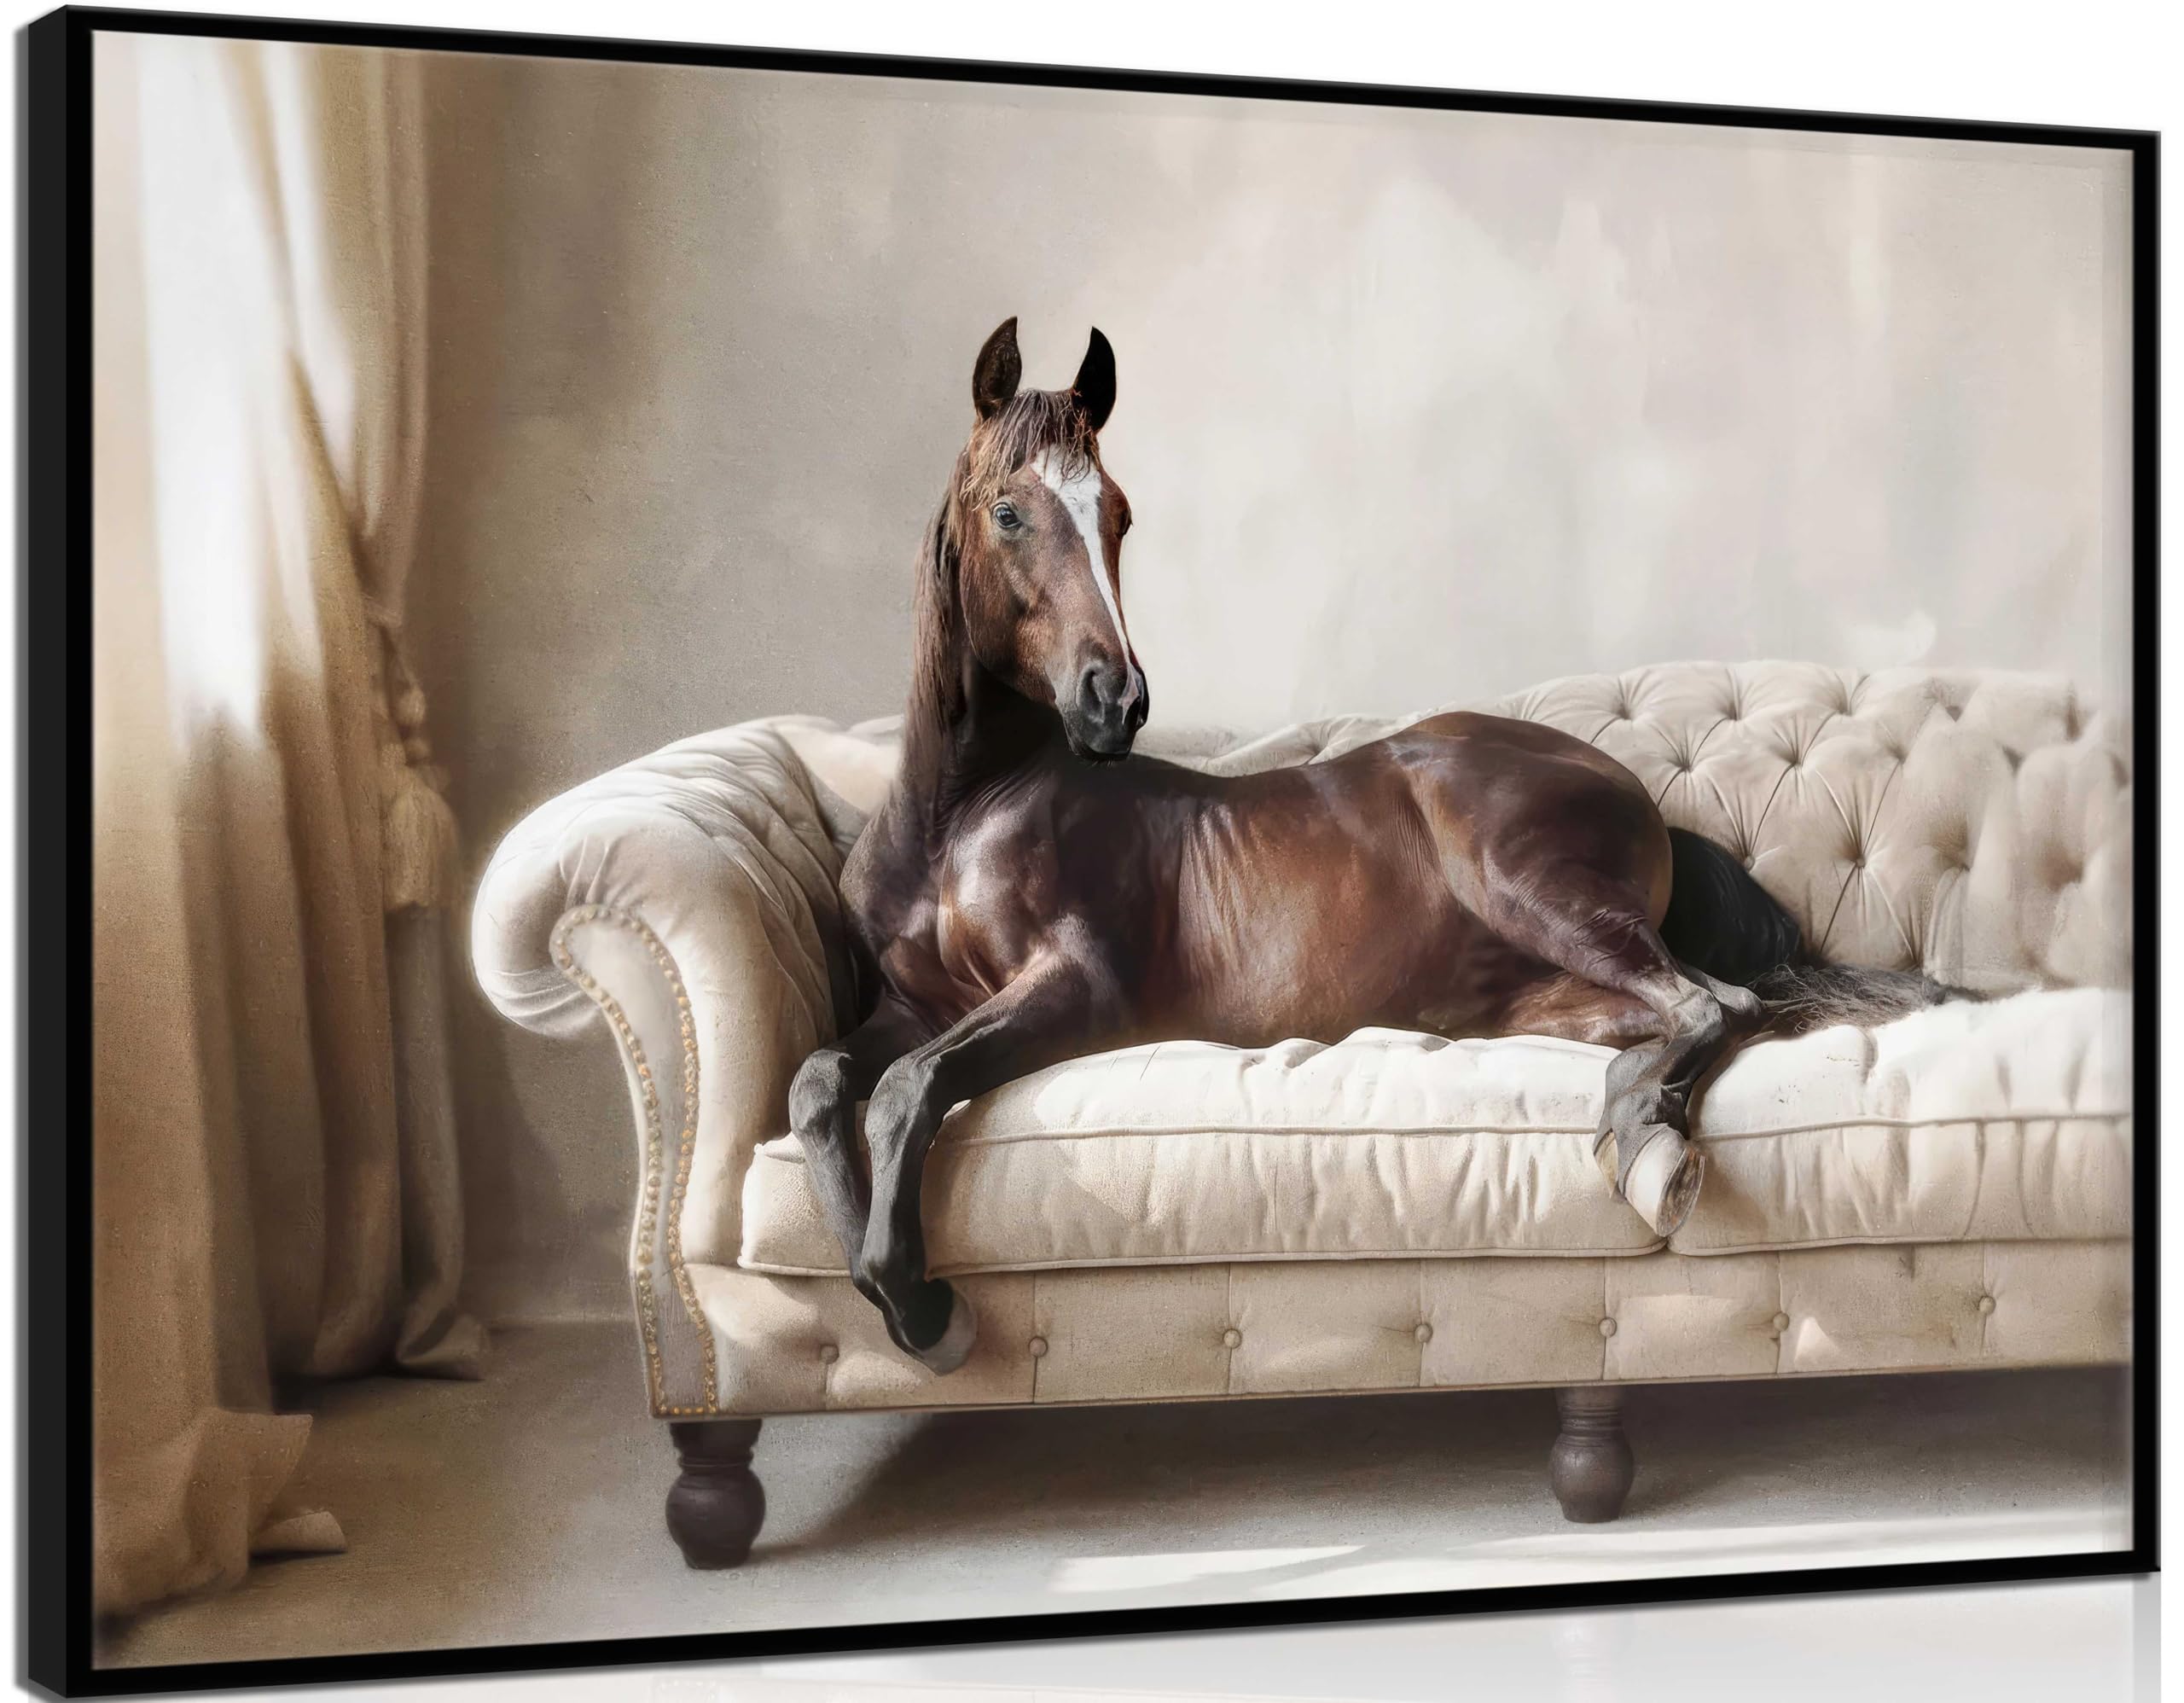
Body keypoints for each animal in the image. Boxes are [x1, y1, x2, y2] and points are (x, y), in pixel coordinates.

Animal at [788, 318, 1959, 1372]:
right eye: (1008, 510)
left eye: (1116, 512)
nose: (1113, 701)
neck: (956, 817)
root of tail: (1623, 785)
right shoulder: (914, 1004)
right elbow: (821, 1082)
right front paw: (887, 1287)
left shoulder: (1081, 987)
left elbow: (906, 1090)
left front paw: (920, 1307)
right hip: (1543, 998)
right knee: (1682, 1017)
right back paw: (1638, 1129)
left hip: (1529, 889)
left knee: (1717, 1004)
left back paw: (1645, 1151)